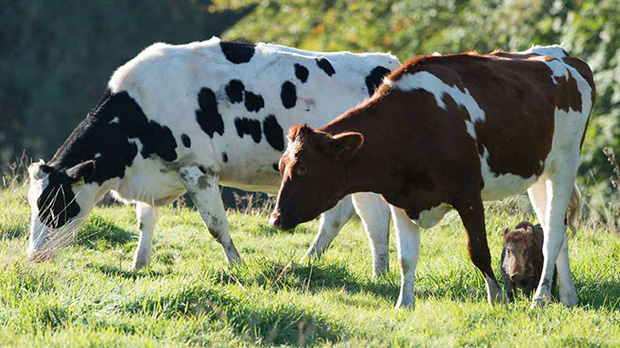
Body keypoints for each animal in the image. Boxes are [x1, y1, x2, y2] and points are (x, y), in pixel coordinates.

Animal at [26, 36, 400, 274]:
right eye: (34, 203)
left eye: (55, 205)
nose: (32, 256)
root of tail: (385, 65)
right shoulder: (156, 174)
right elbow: (145, 221)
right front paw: (138, 264)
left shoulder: (198, 170)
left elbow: (216, 226)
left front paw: (237, 265)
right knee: (338, 216)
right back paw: (308, 262)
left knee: (375, 220)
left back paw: (379, 273)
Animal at [270, 44, 596, 308]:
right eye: (282, 165)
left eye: (303, 167)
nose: (275, 218)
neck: (411, 126)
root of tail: (565, 59)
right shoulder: (400, 200)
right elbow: (406, 258)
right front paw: (404, 305)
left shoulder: (468, 193)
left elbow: (478, 250)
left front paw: (497, 297)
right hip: (540, 173)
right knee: (555, 229)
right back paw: (567, 297)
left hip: (565, 162)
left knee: (552, 234)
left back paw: (540, 298)